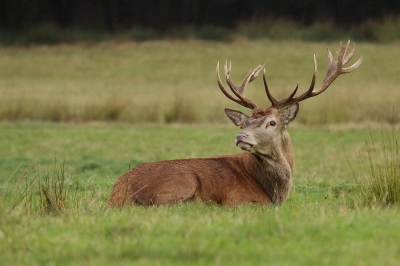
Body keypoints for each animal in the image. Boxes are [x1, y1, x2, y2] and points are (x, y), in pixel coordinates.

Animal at [108, 41, 364, 207]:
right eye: (245, 123)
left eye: (272, 122)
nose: (241, 137)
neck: (274, 193)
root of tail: (118, 194)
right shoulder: (240, 201)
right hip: (180, 184)